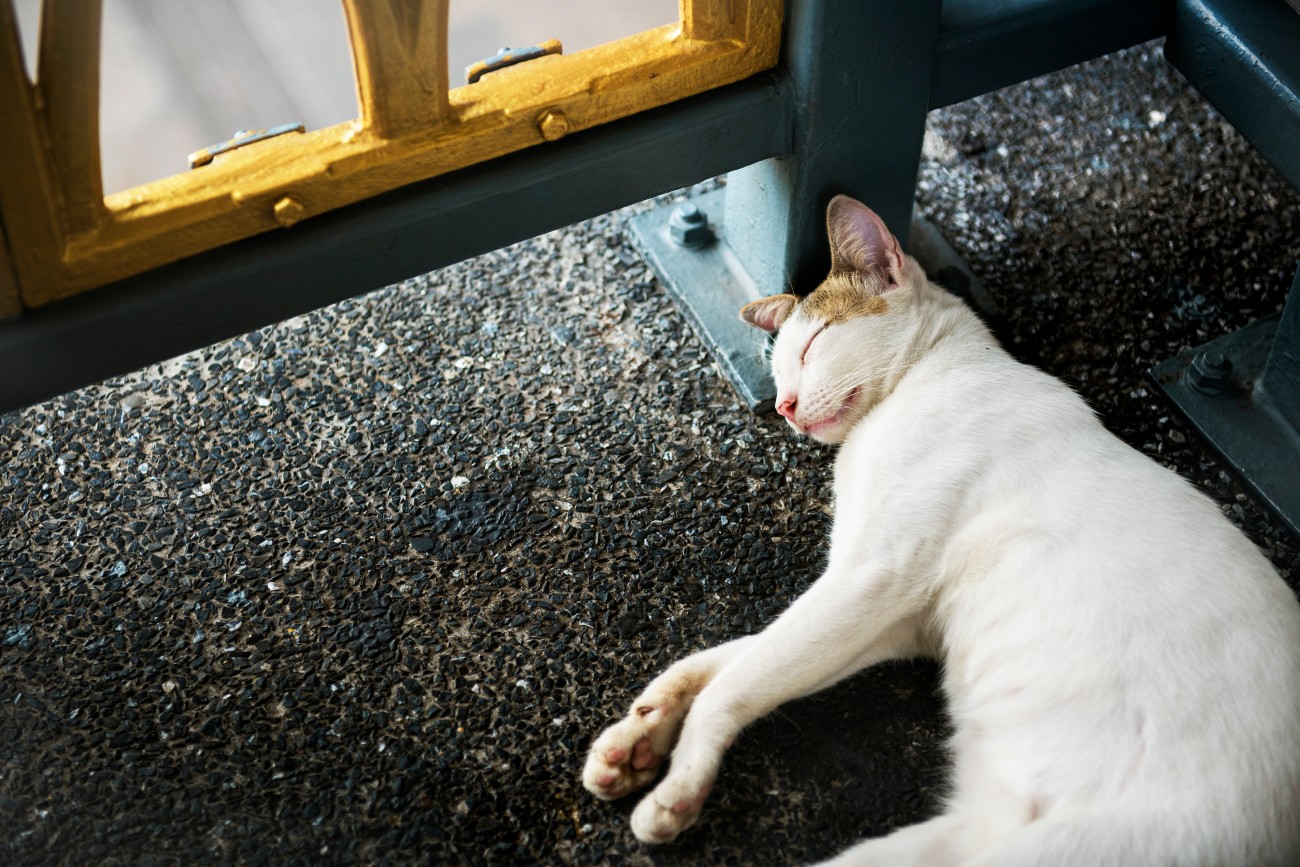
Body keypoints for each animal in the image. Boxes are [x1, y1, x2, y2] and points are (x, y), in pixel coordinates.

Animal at [581, 195, 1300, 866]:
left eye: (813, 346)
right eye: (779, 370)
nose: (783, 405)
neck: (915, 387)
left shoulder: (873, 576)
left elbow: (738, 680)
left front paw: (678, 783)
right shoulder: (892, 615)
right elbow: (733, 657)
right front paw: (641, 731)